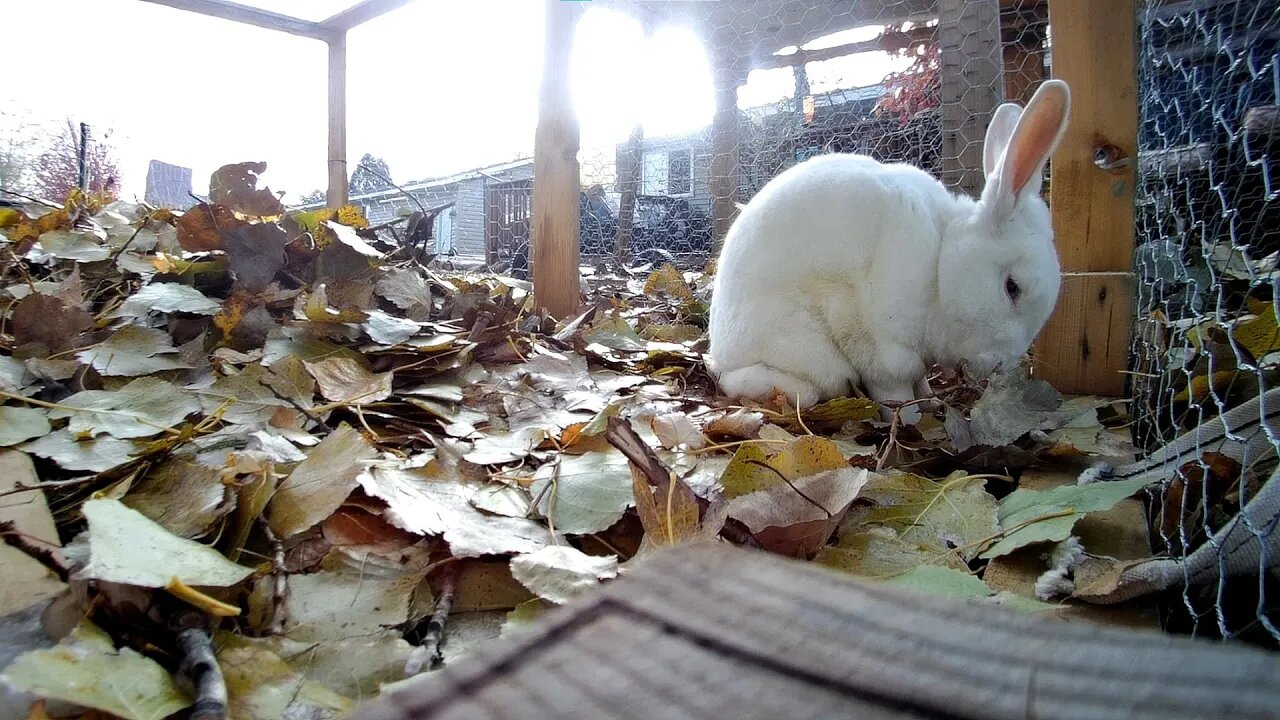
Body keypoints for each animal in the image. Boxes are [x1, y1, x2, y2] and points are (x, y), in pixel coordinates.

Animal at [706, 78, 1075, 415]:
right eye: (1012, 287)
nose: (999, 365)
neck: (939, 265)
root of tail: (719, 348)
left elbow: (921, 381)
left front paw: (931, 401)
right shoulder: (880, 342)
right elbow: (895, 389)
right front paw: (911, 417)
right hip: (803, 354)